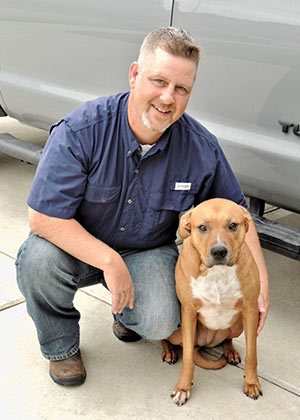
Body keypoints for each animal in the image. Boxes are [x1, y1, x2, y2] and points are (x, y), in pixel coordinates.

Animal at [162, 199, 262, 406]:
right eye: (202, 227)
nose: (219, 251)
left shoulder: (250, 310)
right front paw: (183, 387)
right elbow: (188, 359)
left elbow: (252, 355)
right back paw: (168, 350)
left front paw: (251, 383)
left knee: (227, 339)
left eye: (233, 225)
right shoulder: (188, 312)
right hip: (178, 331)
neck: (217, 272)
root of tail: (204, 343)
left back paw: (229, 351)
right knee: (168, 338)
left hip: (238, 325)